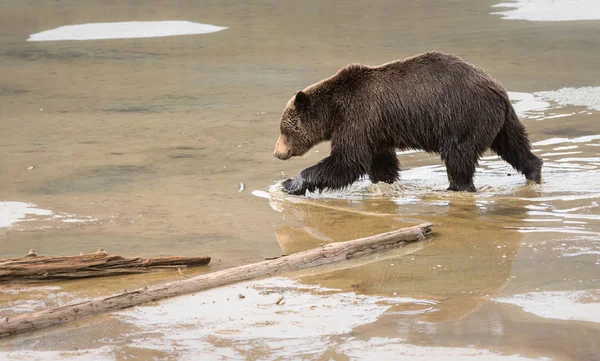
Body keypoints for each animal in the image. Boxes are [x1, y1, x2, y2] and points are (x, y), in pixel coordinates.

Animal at [274, 50, 544, 194]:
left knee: (459, 156)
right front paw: (384, 182)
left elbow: (348, 160)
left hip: (463, 117)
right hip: (500, 120)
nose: (277, 152)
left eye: (284, 130)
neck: (334, 111)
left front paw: (290, 183)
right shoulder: (376, 130)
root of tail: (497, 89)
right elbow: (381, 163)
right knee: (514, 145)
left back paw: (456, 187)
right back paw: (534, 170)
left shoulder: (358, 118)